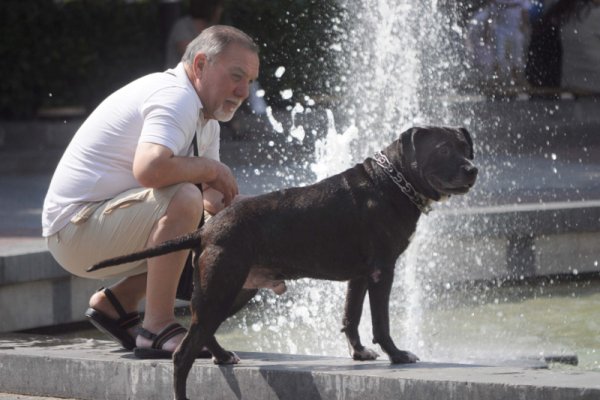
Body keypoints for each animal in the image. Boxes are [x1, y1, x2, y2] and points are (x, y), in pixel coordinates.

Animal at [88, 126, 478, 400]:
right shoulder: (383, 271)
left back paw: (223, 356)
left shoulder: (360, 276)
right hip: (223, 286)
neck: (393, 181)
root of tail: (207, 229)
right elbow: (381, 323)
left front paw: (358, 353)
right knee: (183, 354)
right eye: (444, 149)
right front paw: (396, 355)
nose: (473, 168)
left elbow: (351, 317)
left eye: (466, 147)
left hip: (234, 290)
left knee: (204, 330)